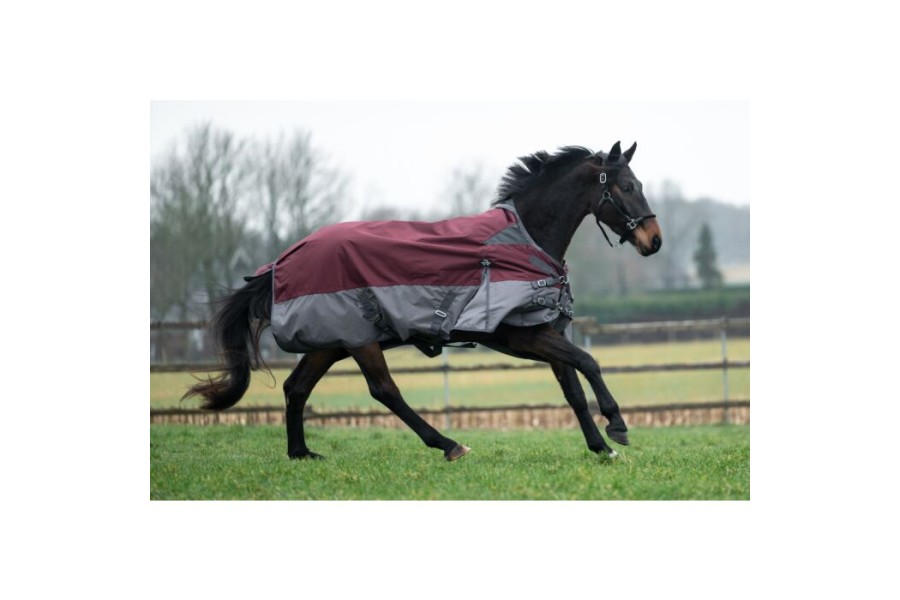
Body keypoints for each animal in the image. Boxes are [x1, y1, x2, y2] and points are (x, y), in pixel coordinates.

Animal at [184, 142, 662, 462]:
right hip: (359, 339)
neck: (523, 240)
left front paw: (600, 446)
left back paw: (302, 453)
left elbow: (573, 388)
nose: (653, 241)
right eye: (624, 186)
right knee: (384, 390)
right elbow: (589, 363)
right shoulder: (522, 337)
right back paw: (448, 445)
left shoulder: (545, 331)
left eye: (637, 183)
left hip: (331, 341)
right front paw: (617, 426)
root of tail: (284, 259)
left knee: (296, 387)